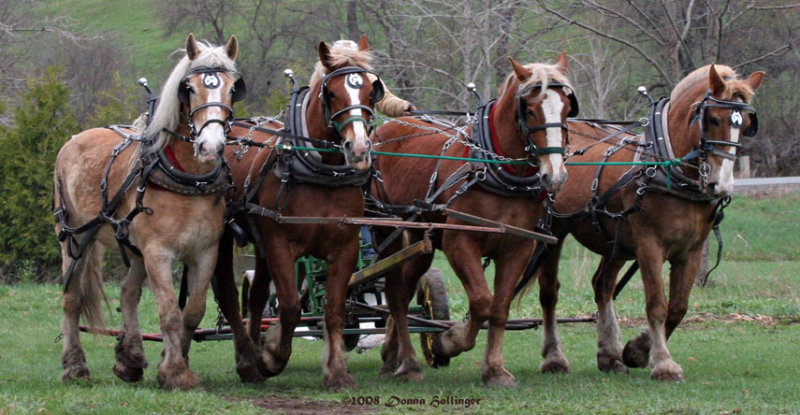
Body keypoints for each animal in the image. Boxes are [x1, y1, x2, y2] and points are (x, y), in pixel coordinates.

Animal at [54, 34, 245, 392]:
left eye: (232, 88)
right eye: (190, 88)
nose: (210, 146)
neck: (189, 178)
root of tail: (76, 138)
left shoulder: (205, 252)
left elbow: (192, 312)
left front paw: (171, 362)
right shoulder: (159, 252)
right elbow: (169, 311)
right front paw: (175, 372)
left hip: (134, 247)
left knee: (128, 294)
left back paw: (130, 358)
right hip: (75, 236)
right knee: (72, 297)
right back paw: (75, 366)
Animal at [214, 35, 382, 390]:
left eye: (370, 91)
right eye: (331, 93)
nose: (359, 149)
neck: (321, 171)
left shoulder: (344, 248)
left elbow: (334, 309)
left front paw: (336, 372)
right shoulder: (280, 244)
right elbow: (291, 307)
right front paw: (273, 357)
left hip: (261, 246)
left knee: (256, 296)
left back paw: (253, 351)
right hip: (222, 239)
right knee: (230, 295)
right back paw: (248, 361)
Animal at [372, 52, 580, 386]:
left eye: (566, 108)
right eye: (530, 109)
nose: (555, 175)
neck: (499, 171)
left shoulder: (518, 246)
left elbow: (499, 306)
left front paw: (495, 369)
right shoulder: (460, 242)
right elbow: (482, 302)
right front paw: (451, 340)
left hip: (420, 243)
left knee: (402, 292)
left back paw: (393, 356)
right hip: (385, 231)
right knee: (394, 293)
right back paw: (410, 364)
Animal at [532, 64, 764, 384]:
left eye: (746, 124)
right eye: (713, 118)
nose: (722, 184)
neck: (669, 169)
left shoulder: (691, 251)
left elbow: (678, 307)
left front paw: (637, 350)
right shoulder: (649, 247)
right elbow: (657, 304)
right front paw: (663, 363)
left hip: (613, 240)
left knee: (602, 286)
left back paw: (609, 354)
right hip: (554, 232)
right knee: (549, 293)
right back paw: (554, 357)